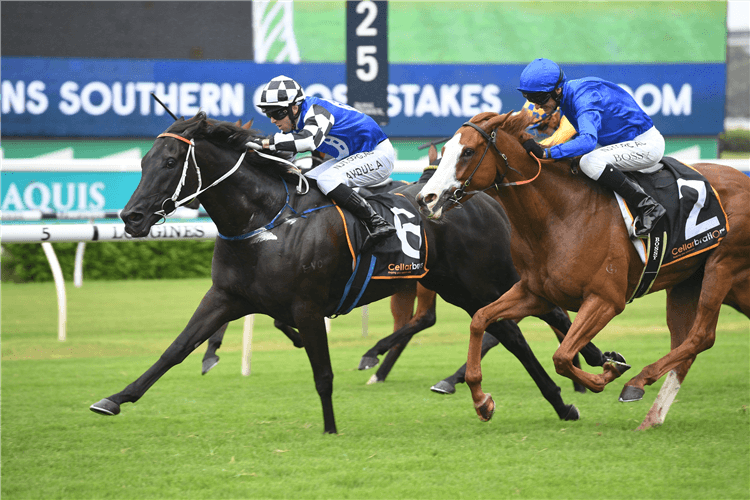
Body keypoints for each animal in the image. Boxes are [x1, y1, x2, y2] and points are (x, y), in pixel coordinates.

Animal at [91, 113, 612, 434]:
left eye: (170, 162)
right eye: (143, 161)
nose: (132, 218)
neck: (266, 220)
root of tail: (481, 197)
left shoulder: (307, 305)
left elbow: (321, 372)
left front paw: (329, 426)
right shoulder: (225, 297)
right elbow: (175, 350)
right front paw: (114, 398)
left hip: (485, 279)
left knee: (534, 322)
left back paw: (587, 370)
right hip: (458, 286)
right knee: (510, 333)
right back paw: (563, 398)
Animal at [418, 111, 750, 428]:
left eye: (468, 152)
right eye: (445, 151)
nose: (425, 199)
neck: (561, 215)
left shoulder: (605, 300)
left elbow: (562, 357)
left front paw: (609, 370)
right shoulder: (534, 293)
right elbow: (480, 320)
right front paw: (481, 401)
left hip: (722, 265)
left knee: (702, 336)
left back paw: (636, 383)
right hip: (690, 281)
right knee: (685, 344)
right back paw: (650, 418)